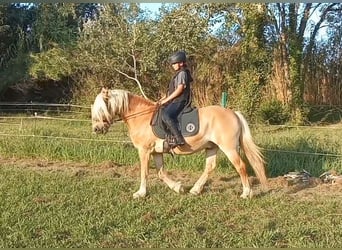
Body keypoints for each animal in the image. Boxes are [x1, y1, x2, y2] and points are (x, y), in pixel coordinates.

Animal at [91, 88, 268, 199]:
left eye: (101, 109)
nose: (96, 129)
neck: (141, 117)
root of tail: (234, 113)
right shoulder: (156, 152)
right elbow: (161, 173)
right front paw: (178, 188)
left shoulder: (144, 151)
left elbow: (144, 172)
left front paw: (140, 193)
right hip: (212, 147)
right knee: (210, 167)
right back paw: (195, 190)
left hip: (229, 148)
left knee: (241, 166)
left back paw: (246, 193)